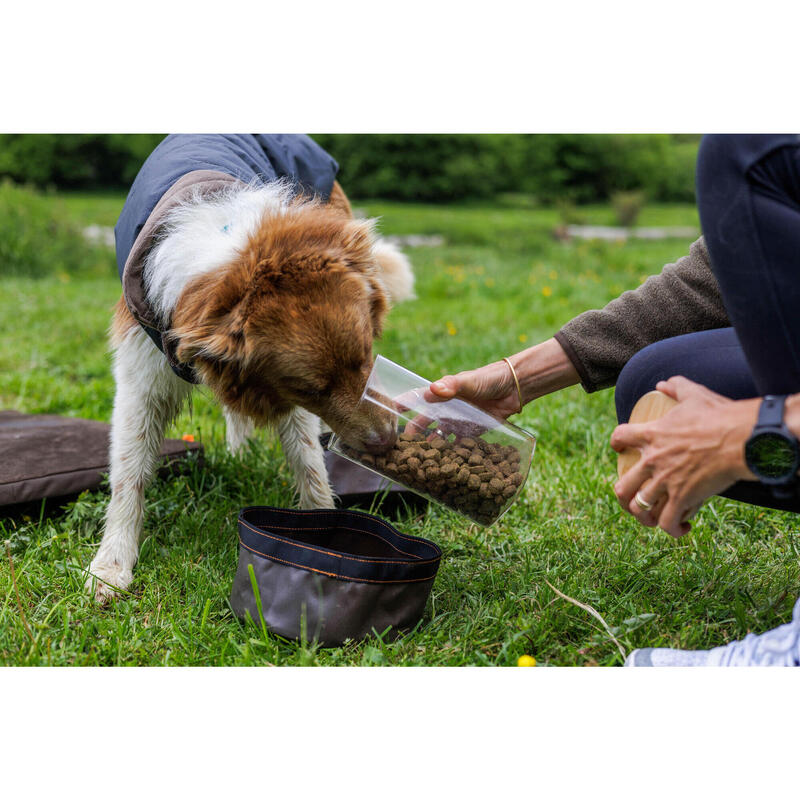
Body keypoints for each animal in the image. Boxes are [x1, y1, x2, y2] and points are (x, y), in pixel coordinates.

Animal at [86, 138, 412, 604]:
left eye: (367, 358)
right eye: (314, 389)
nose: (389, 440)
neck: (231, 249)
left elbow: (308, 460)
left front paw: (322, 520)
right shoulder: (141, 374)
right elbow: (128, 474)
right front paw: (112, 565)